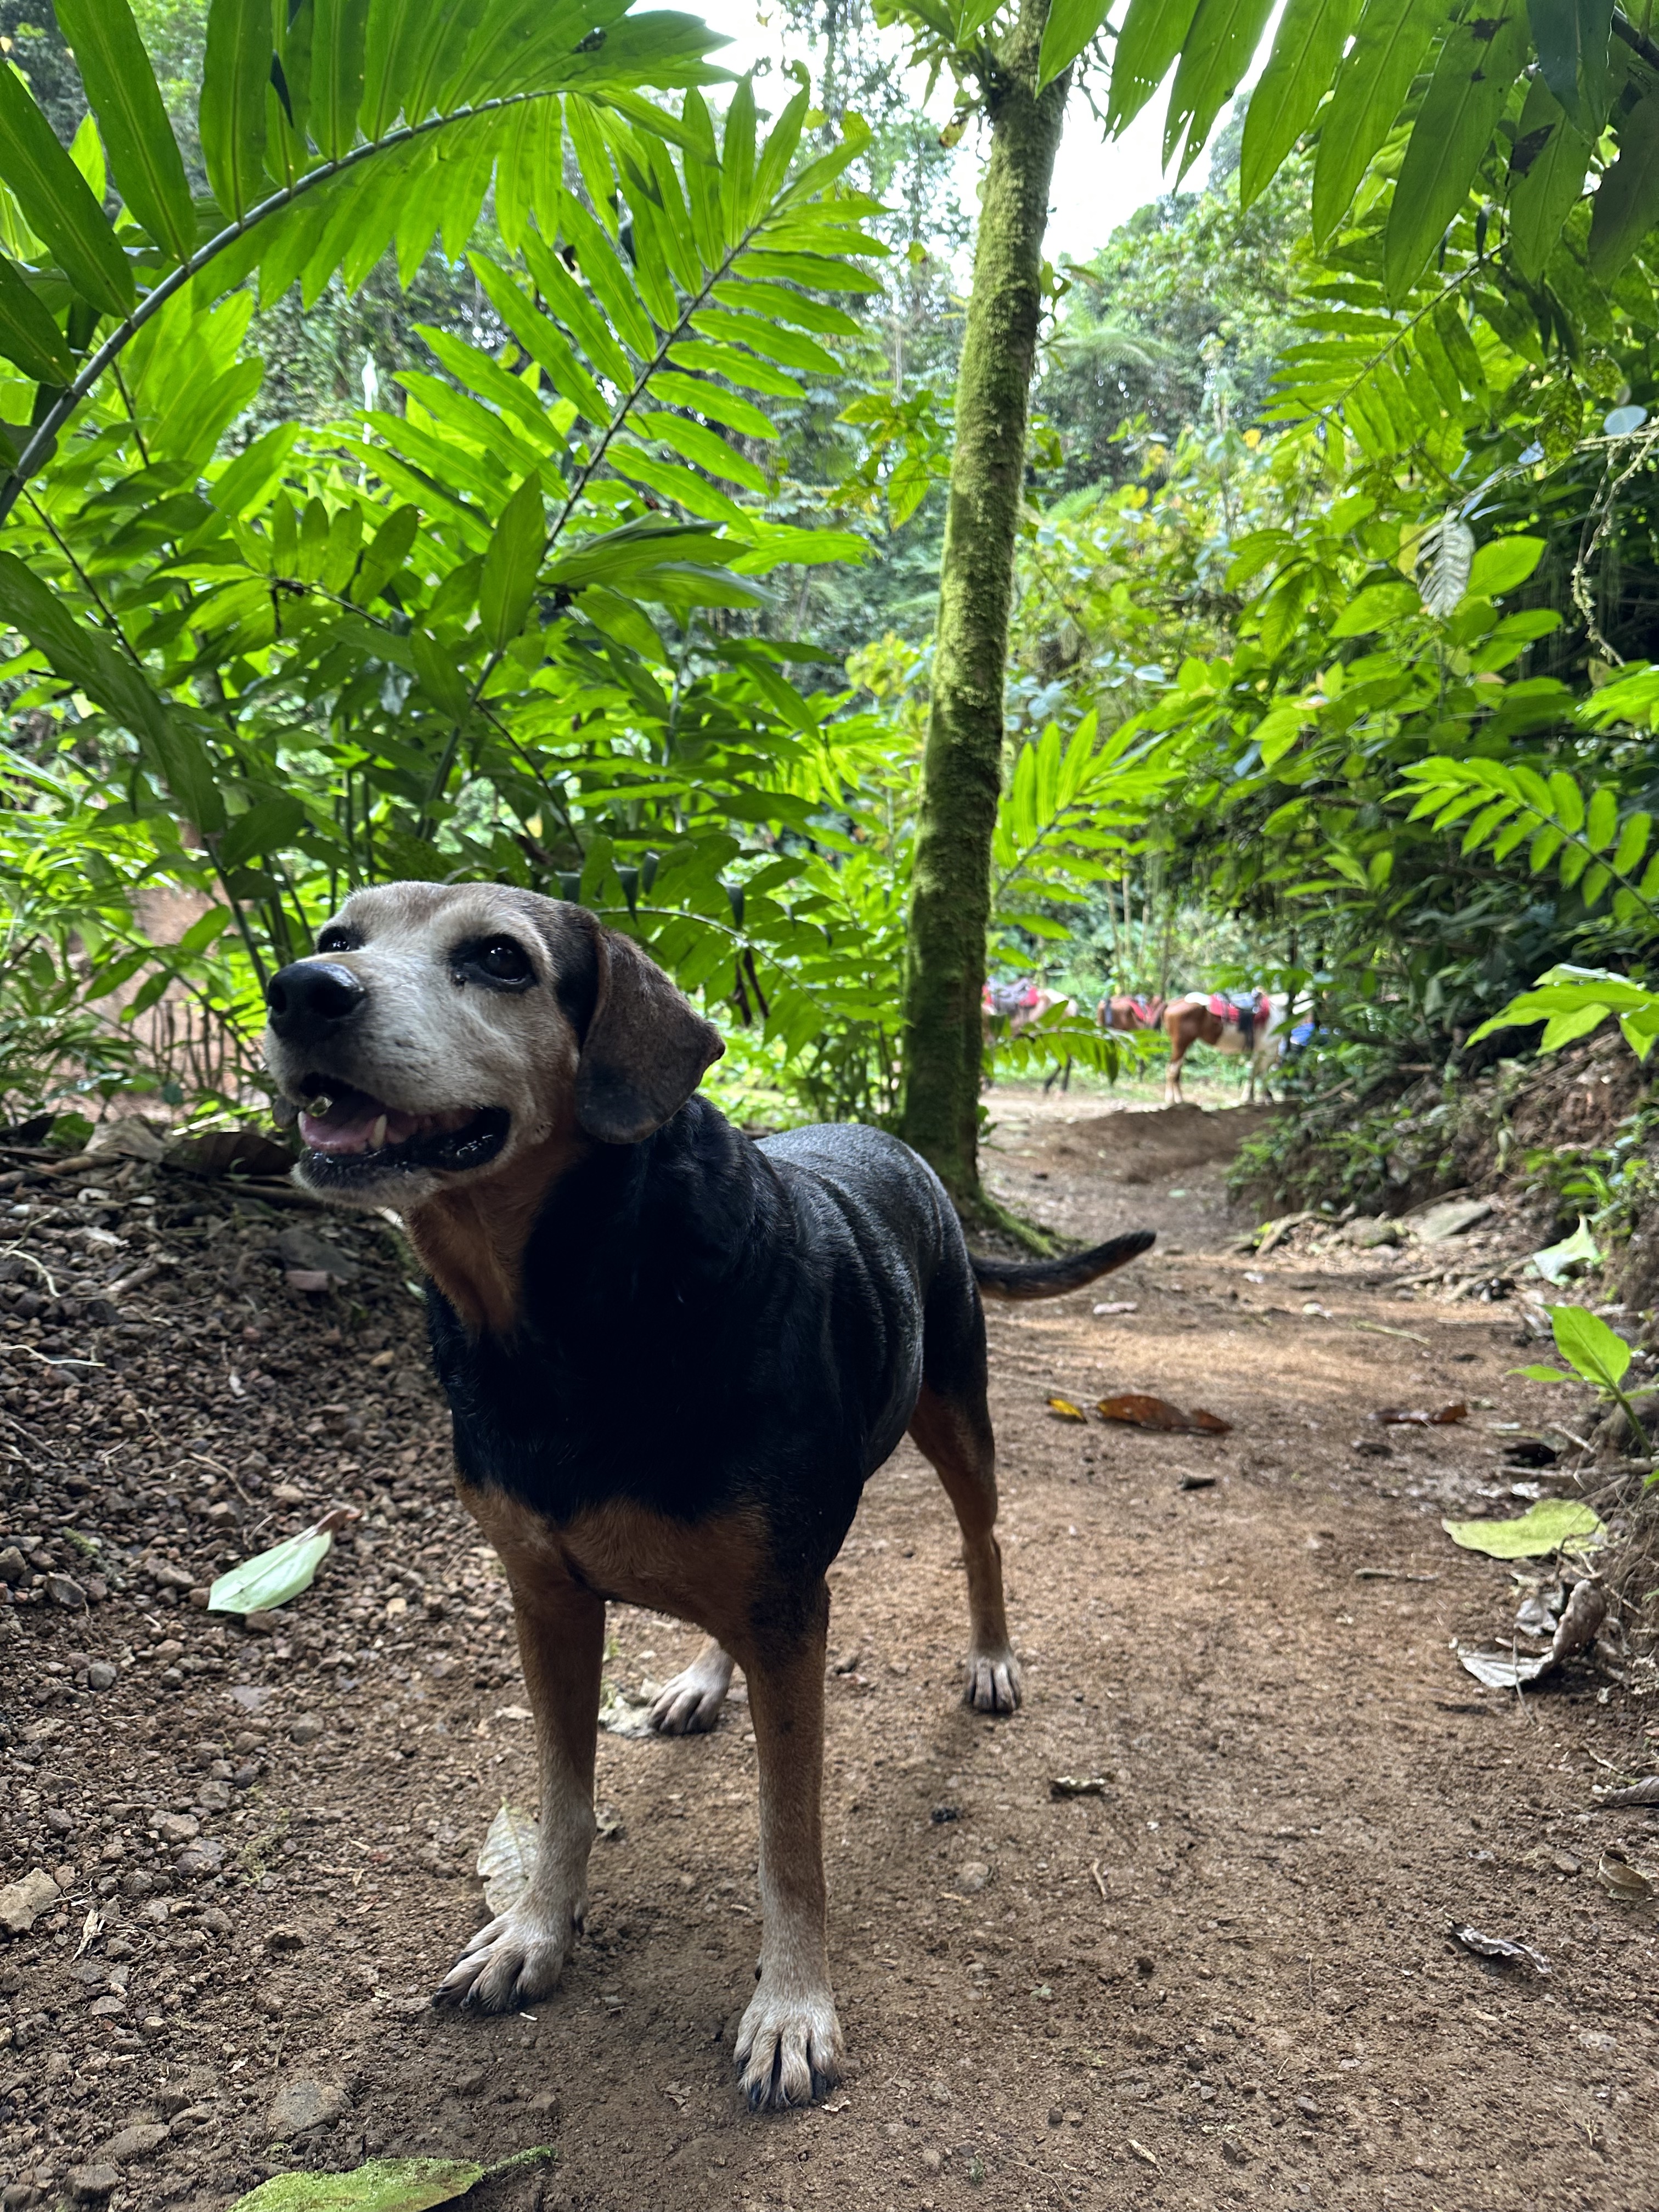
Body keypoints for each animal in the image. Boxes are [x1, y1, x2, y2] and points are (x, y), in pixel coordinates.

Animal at [263, 889, 1159, 2114]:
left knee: (982, 1538)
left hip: (953, 1414)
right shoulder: (543, 1596)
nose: (299, 990)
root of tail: (900, 1145)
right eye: (338, 936)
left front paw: (790, 2009)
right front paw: (533, 1932)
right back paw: (698, 1680)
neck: (564, 1317)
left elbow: (788, 1841)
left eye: (500, 959)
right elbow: (563, 1798)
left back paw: (990, 1657)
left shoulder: (789, 1612)